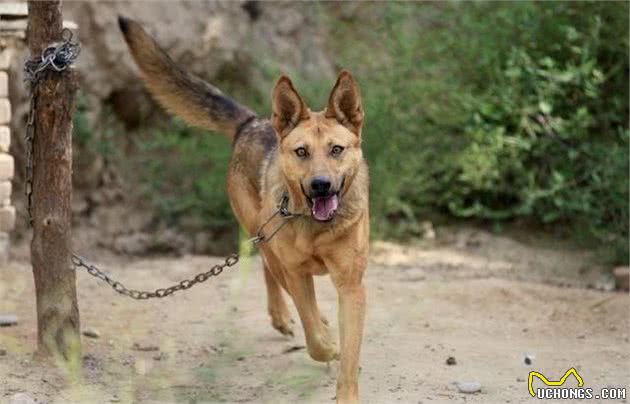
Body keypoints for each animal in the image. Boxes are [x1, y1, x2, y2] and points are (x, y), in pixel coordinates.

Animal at [119, 17, 369, 403]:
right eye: (301, 152)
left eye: (337, 149)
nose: (321, 185)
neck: (316, 228)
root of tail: (252, 122)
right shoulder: (296, 274)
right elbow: (314, 335)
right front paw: (328, 344)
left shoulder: (351, 286)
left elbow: (349, 355)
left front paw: (345, 381)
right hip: (265, 237)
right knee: (272, 272)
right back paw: (287, 318)